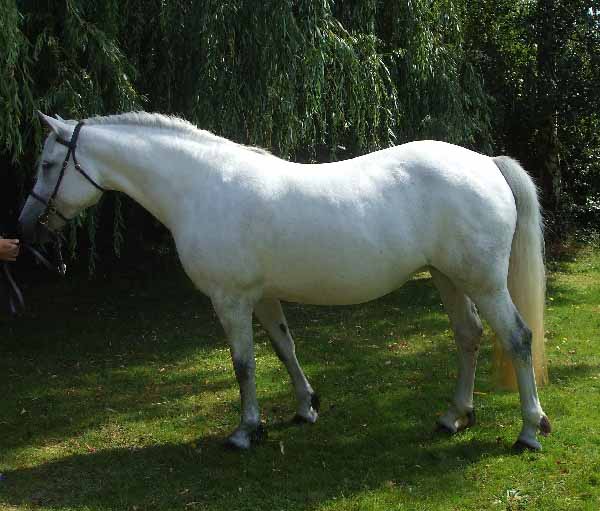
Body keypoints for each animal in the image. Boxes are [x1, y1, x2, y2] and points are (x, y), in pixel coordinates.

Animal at [18, 113, 552, 452]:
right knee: (469, 337)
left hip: (483, 283)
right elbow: (284, 348)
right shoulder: (262, 297)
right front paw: (305, 408)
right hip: (448, 278)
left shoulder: (229, 300)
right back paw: (453, 416)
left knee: (517, 338)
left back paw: (528, 431)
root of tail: (485, 163)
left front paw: (245, 431)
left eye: (47, 165)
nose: (26, 226)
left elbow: (243, 366)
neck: (201, 187)